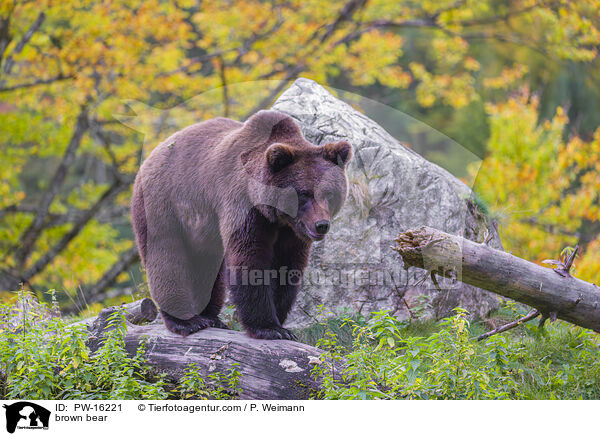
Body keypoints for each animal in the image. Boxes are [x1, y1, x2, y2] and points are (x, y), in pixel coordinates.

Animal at [131, 110, 352, 340]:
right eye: (304, 194)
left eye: (329, 193)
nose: (321, 225)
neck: (274, 213)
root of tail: (152, 155)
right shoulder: (242, 205)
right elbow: (249, 257)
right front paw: (268, 327)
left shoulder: (290, 231)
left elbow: (288, 266)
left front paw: (280, 320)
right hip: (165, 204)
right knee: (167, 256)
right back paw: (186, 321)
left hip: (202, 231)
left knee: (206, 265)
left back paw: (210, 317)